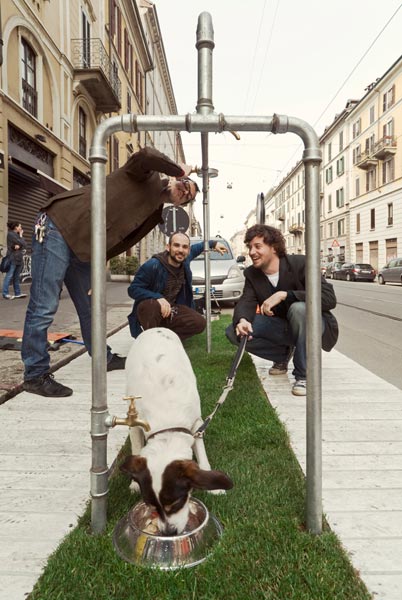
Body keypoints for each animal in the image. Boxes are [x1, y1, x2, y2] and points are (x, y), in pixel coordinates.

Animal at [119, 328, 232, 536]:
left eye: (177, 502)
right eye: (151, 505)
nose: (169, 533)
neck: (168, 426)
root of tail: (153, 328)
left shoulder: (197, 424)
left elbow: (202, 455)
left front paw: (213, 487)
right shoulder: (135, 424)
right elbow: (137, 448)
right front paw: (133, 482)